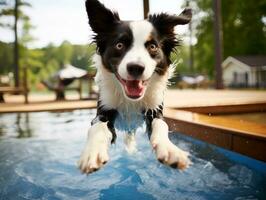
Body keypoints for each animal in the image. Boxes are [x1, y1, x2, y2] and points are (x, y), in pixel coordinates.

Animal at [78, 0, 192, 173]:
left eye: (153, 47)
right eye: (119, 45)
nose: (136, 68)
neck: (130, 100)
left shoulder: (154, 109)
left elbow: (162, 125)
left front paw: (170, 150)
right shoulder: (104, 110)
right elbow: (97, 128)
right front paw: (93, 152)